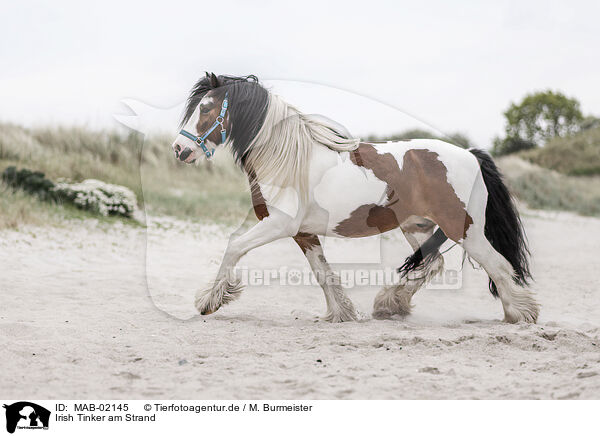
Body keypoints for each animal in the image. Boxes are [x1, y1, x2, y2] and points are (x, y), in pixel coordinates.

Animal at [169, 72, 540, 324]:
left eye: (206, 108)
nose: (179, 149)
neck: (287, 158)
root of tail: (471, 155)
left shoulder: (279, 224)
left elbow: (233, 247)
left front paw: (210, 301)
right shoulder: (303, 232)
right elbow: (323, 272)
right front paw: (342, 313)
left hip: (463, 229)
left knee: (498, 265)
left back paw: (520, 315)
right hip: (417, 226)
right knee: (433, 264)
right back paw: (390, 304)